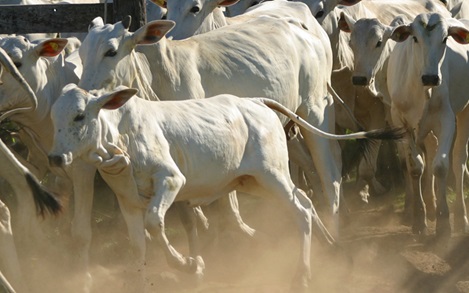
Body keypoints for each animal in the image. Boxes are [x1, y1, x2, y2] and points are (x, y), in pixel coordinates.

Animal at [46, 83, 402, 288]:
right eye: (54, 116)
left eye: (79, 116)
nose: (54, 157)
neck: (119, 138)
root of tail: (257, 102)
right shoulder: (128, 202)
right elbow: (139, 245)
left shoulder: (171, 180)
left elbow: (155, 223)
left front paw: (191, 265)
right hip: (254, 182)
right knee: (304, 199)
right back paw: (333, 250)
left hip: (272, 175)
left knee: (301, 210)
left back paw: (302, 275)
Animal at [384, 13, 468, 236]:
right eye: (415, 38)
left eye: (445, 39)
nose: (431, 77)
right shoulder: (400, 121)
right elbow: (415, 167)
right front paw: (419, 219)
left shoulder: (447, 120)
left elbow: (440, 166)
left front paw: (444, 222)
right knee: (429, 151)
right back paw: (430, 208)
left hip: (464, 112)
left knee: (458, 159)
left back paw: (460, 217)